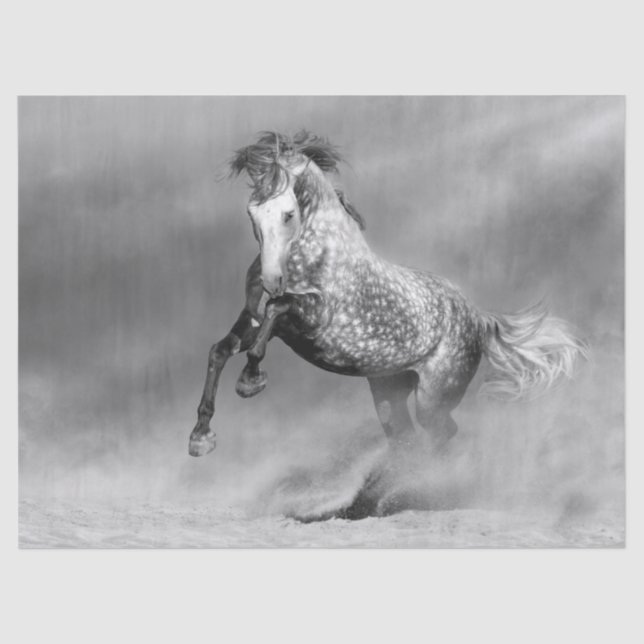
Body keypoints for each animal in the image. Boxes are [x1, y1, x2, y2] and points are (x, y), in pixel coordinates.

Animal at [188, 130, 588, 460]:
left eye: (288, 214)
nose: (272, 279)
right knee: (406, 439)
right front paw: (201, 437)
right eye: (252, 212)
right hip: (388, 391)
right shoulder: (255, 319)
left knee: (441, 434)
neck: (317, 250)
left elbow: (276, 311)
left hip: (433, 398)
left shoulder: (315, 317)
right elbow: (220, 350)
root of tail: (479, 318)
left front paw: (250, 381)